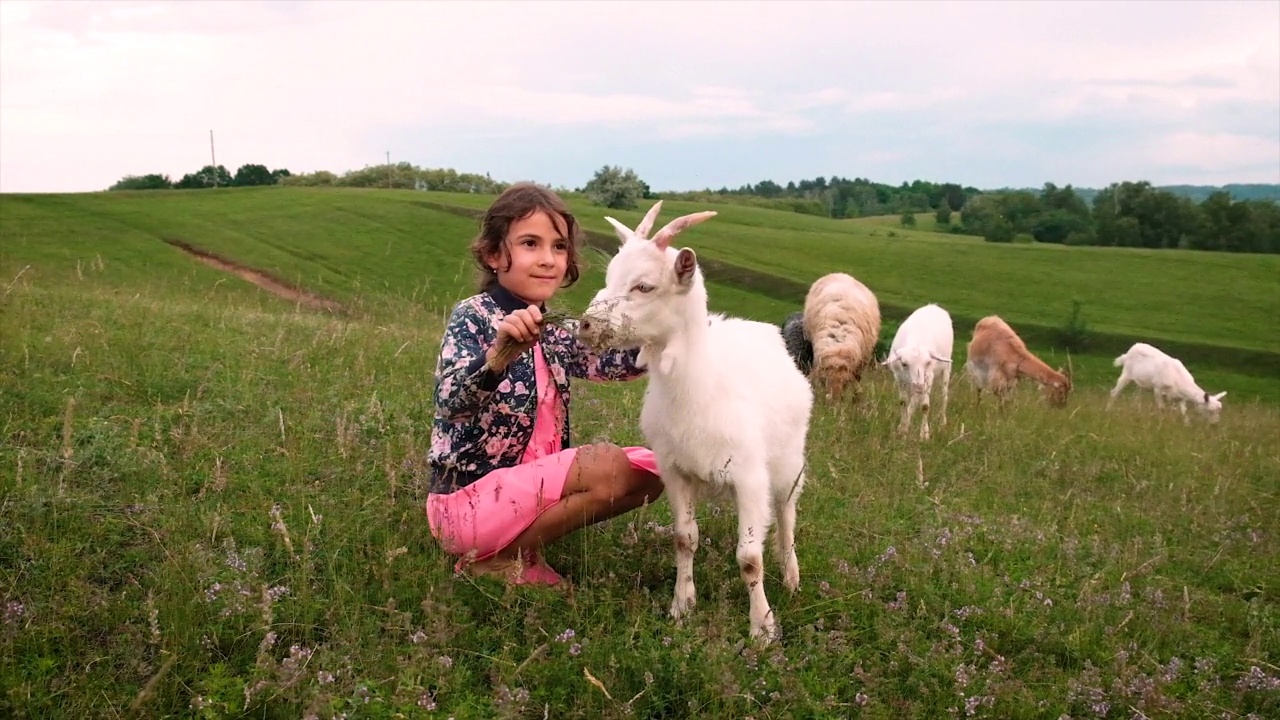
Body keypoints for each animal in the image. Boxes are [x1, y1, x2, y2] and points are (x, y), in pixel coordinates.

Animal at [578, 198, 808, 640]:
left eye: (644, 286)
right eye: (611, 276)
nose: (585, 326)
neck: (697, 386)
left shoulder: (750, 476)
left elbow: (750, 557)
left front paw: (763, 627)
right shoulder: (676, 471)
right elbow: (685, 539)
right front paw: (682, 606)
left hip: (790, 463)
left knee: (787, 515)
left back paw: (791, 578)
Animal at [885, 301, 957, 438]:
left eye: (928, 362)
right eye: (904, 364)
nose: (919, 385)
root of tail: (934, 306)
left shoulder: (928, 378)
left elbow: (924, 406)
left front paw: (924, 434)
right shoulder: (899, 378)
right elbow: (903, 402)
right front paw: (903, 428)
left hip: (945, 369)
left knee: (944, 396)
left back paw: (942, 422)